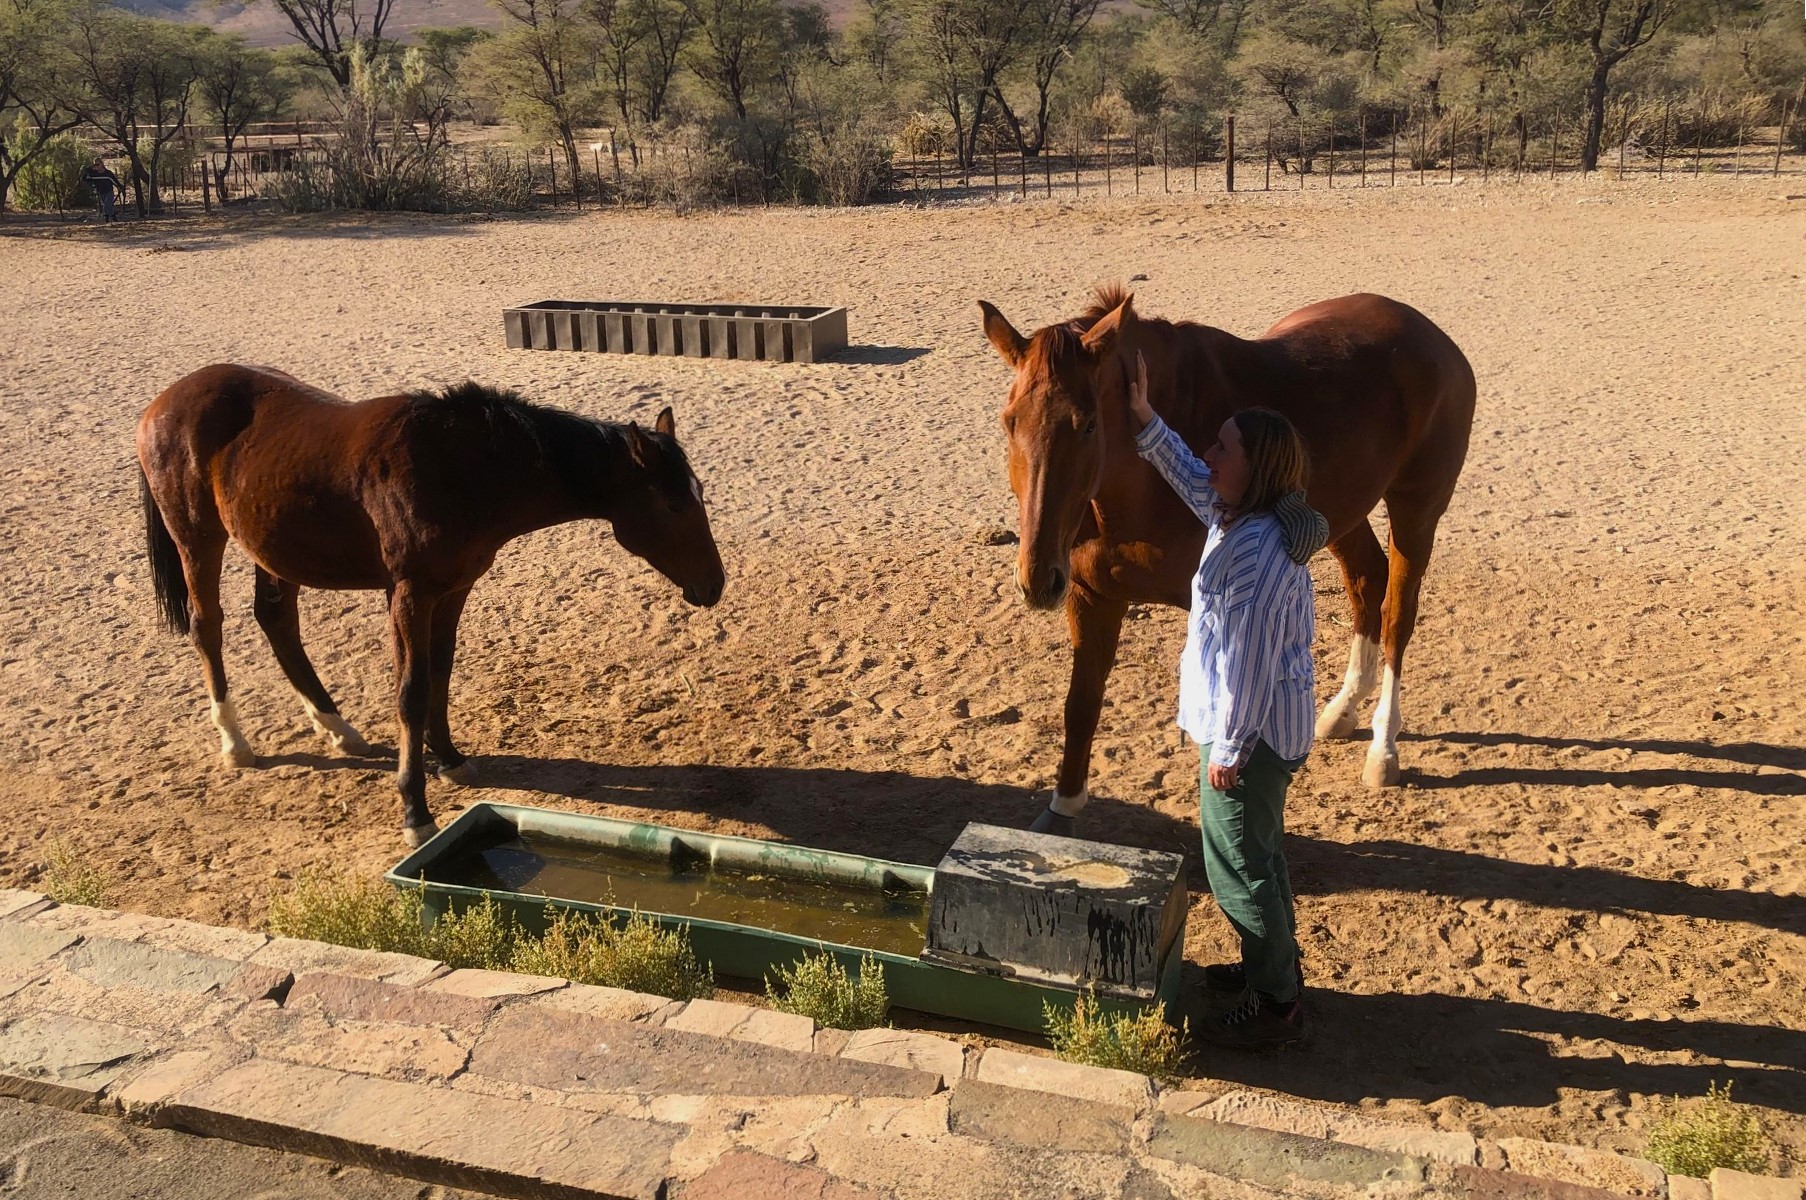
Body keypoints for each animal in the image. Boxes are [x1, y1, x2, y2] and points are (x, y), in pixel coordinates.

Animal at [137, 365, 726, 842]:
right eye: (674, 504)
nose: (715, 584)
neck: (458, 465)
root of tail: (164, 402)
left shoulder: (453, 589)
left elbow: (440, 671)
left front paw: (449, 759)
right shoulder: (409, 594)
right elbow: (412, 692)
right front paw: (415, 811)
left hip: (274, 546)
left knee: (277, 622)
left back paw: (338, 728)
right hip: (197, 538)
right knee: (207, 626)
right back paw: (235, 741)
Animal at [982, 290, 1473, 831]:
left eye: (1087, 424)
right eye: (1009, 421)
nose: (1037, 579)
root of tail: (1428, 334)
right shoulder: (1092, 597)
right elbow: (1081, 704)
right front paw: (1062, 809)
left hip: (1417, 509)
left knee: (1397, 615)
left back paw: (1383, 749)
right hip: (1338, 515)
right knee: (1368, 582)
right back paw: (1342, 711)